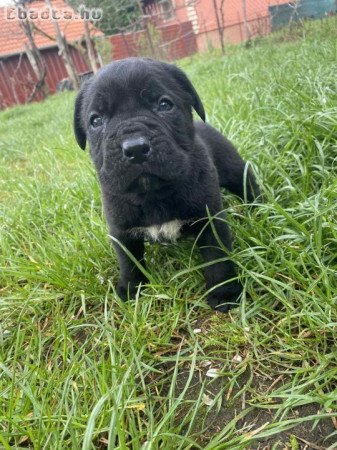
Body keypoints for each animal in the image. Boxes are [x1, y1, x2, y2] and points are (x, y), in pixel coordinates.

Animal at [73, 57, 258, 312]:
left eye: (164, 105)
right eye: (96, 121)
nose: (135, 148)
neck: (152, 194)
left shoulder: (210, 218)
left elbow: (217, 257)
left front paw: (225, 292)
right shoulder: (121, 230)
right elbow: (129, 262)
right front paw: (131, 290)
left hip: (233, 169)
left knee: (248, 185)